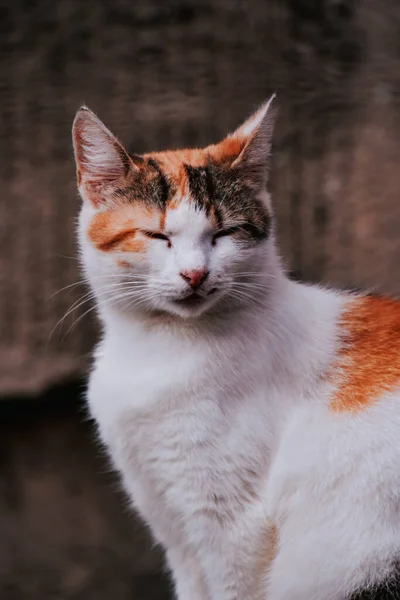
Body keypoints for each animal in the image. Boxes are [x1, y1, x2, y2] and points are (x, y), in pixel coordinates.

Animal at [72, 98, 400, 600]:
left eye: (224, 234)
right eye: (157, 236)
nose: (195, 274)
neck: (158, 348)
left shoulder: (231, 525)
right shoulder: (173, 525)